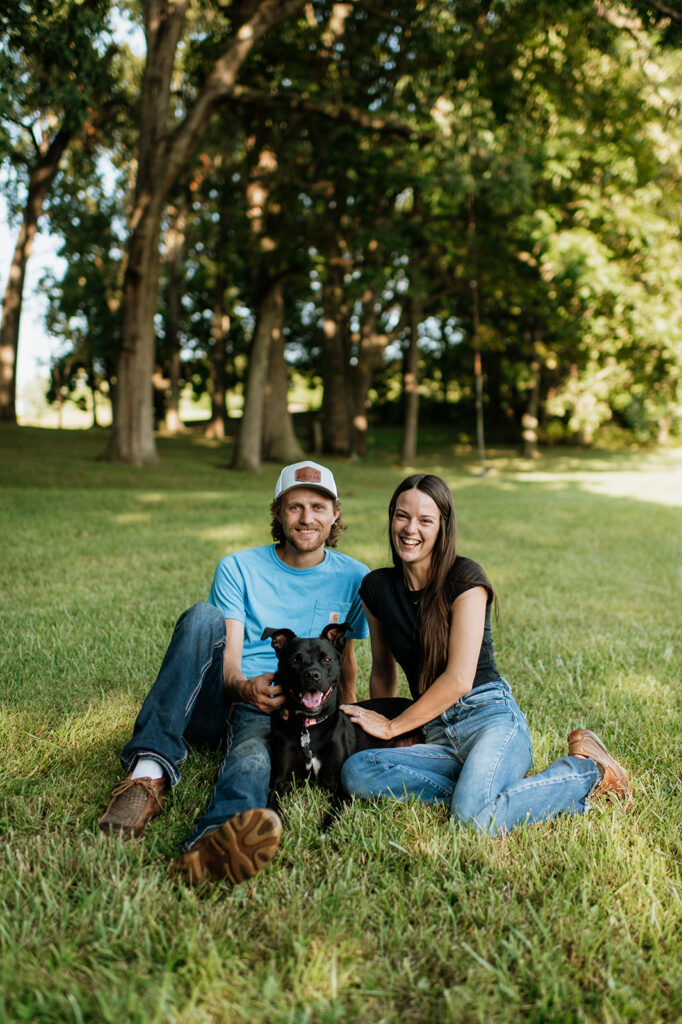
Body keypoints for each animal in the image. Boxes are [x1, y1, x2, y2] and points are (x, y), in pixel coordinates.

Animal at [260, 618, 419, 819]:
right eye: (294, 659)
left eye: (326, 659)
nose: (312, 675)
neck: (309, 727)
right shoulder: (281, 782)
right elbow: (270, 811)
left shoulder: (340, 786)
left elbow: (332, 816)